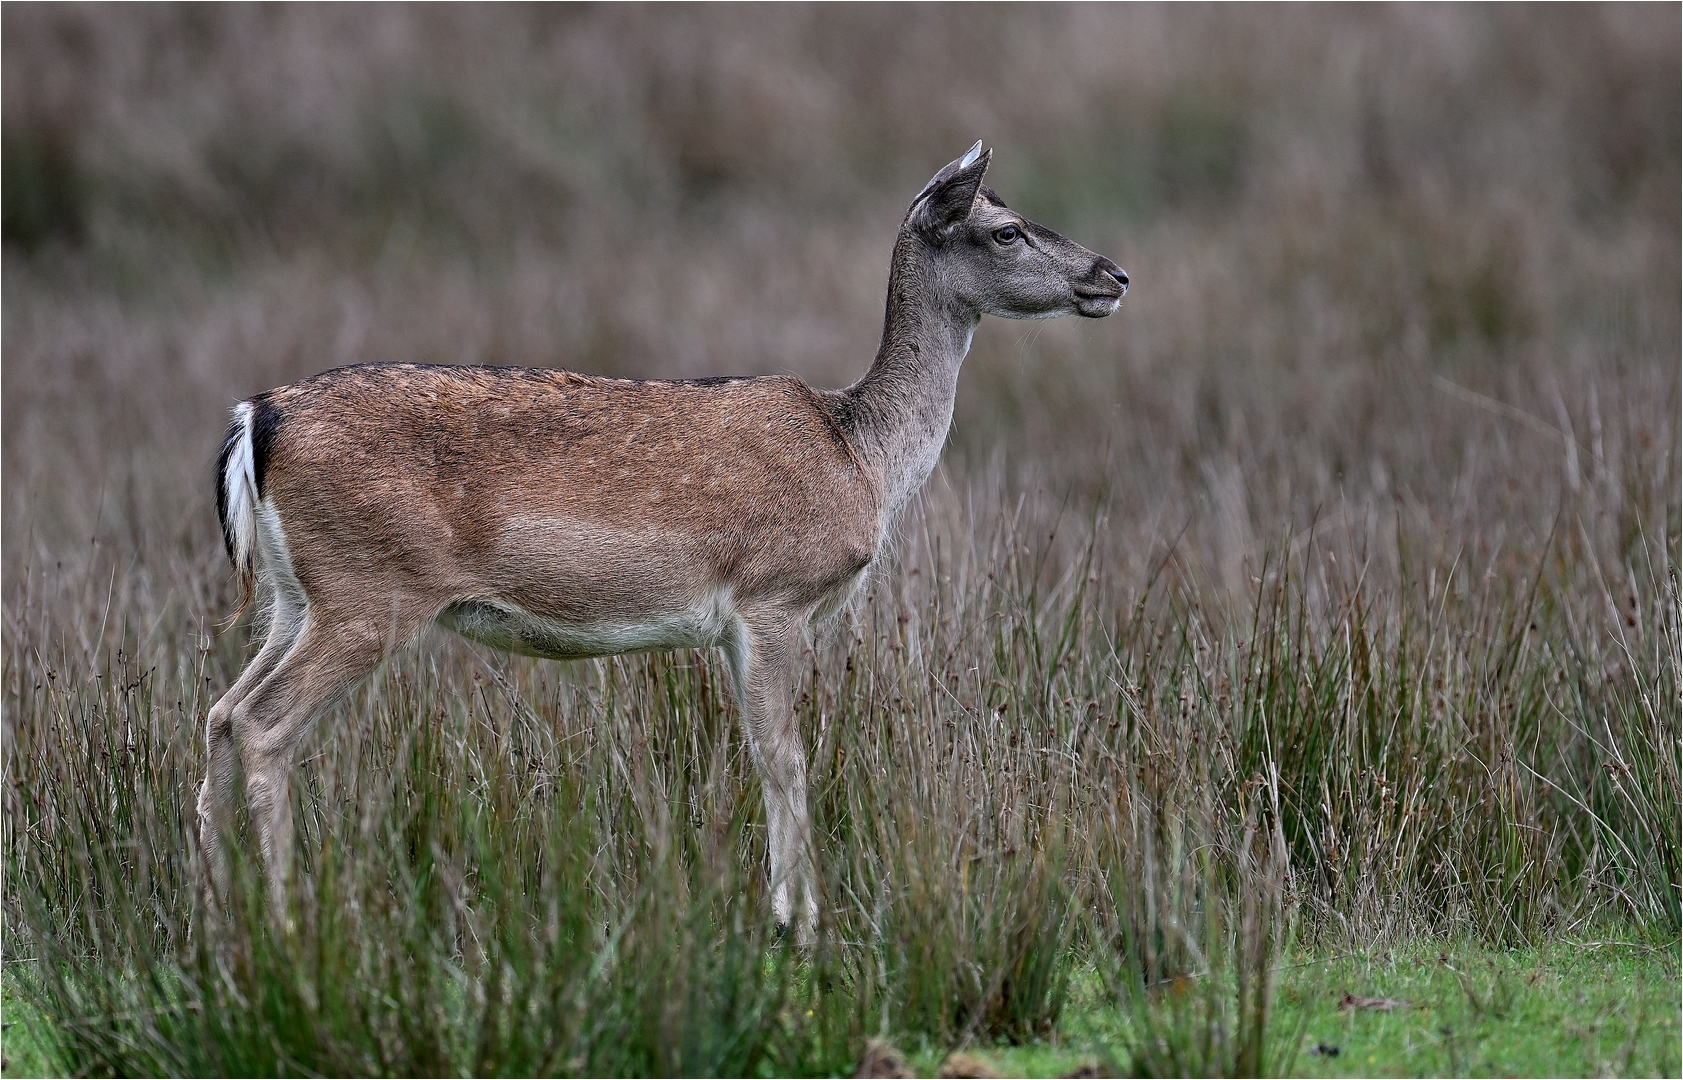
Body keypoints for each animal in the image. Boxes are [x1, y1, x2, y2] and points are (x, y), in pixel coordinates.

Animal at [200, 142, 1126, 943]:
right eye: (1003, 228)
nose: (1112, 275)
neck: (862, 458)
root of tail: (256, 419)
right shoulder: (774, 594)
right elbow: (786, 757)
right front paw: (799, 921)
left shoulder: (733, 625)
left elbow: (760, 752)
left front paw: (784, 907)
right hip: (371, 589)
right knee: (263, 721)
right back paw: (284, 917)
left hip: (296, 594)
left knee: (219, 710)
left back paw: (206, 892)